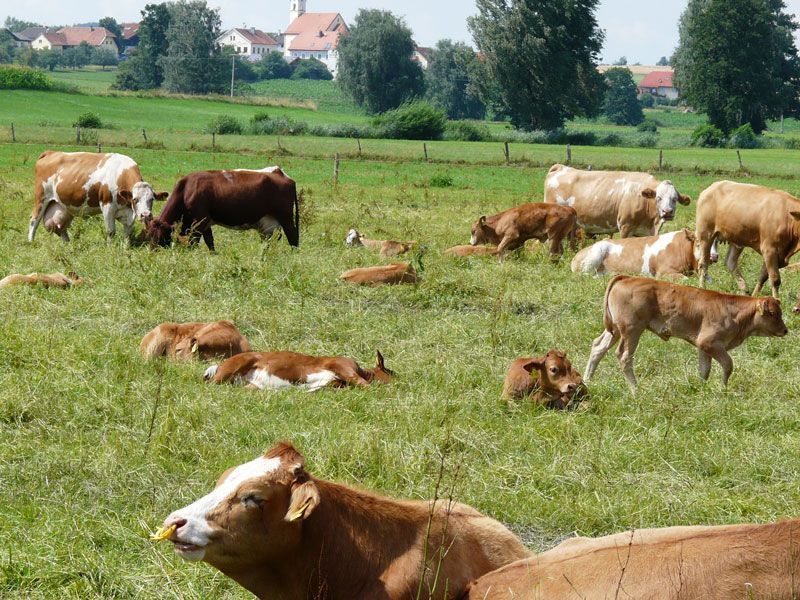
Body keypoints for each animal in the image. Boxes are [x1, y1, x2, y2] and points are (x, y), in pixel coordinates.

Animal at [30, 151, 167, 242]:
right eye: (135, 199)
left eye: (151, 199)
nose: (145, 215)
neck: (121, 175)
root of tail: (51, 152)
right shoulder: (107, 206)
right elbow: (111, 232)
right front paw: (110, 249)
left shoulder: (128, 211)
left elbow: (127, 232)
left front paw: (125, 248)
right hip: (41, 198)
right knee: (34, 220)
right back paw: (31, 242)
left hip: (62, 206)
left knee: (62, 227)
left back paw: (67, 244)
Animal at [142, 168, 299, 251]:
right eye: (149, 235)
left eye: (160, 236)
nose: (152, 253)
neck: (186, 189)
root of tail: (279, 172)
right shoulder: (206, 223)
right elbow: (210, 242)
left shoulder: (199, 220)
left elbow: (194, 242)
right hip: (269, 224)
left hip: (286, 218)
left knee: (293, 238)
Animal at [584, 275, 788, 390]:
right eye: (772, 313)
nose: (785, 330)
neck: (733, 312)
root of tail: (626, 278)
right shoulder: (710, 342)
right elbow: (728, 365)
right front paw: (723, 389)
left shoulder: (703, 347)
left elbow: (704, 370)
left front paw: (702, 390)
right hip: (632, 330)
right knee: (624, 356)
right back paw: (636, 390)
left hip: (615, 330)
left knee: (598, 347)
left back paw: (587, 382)